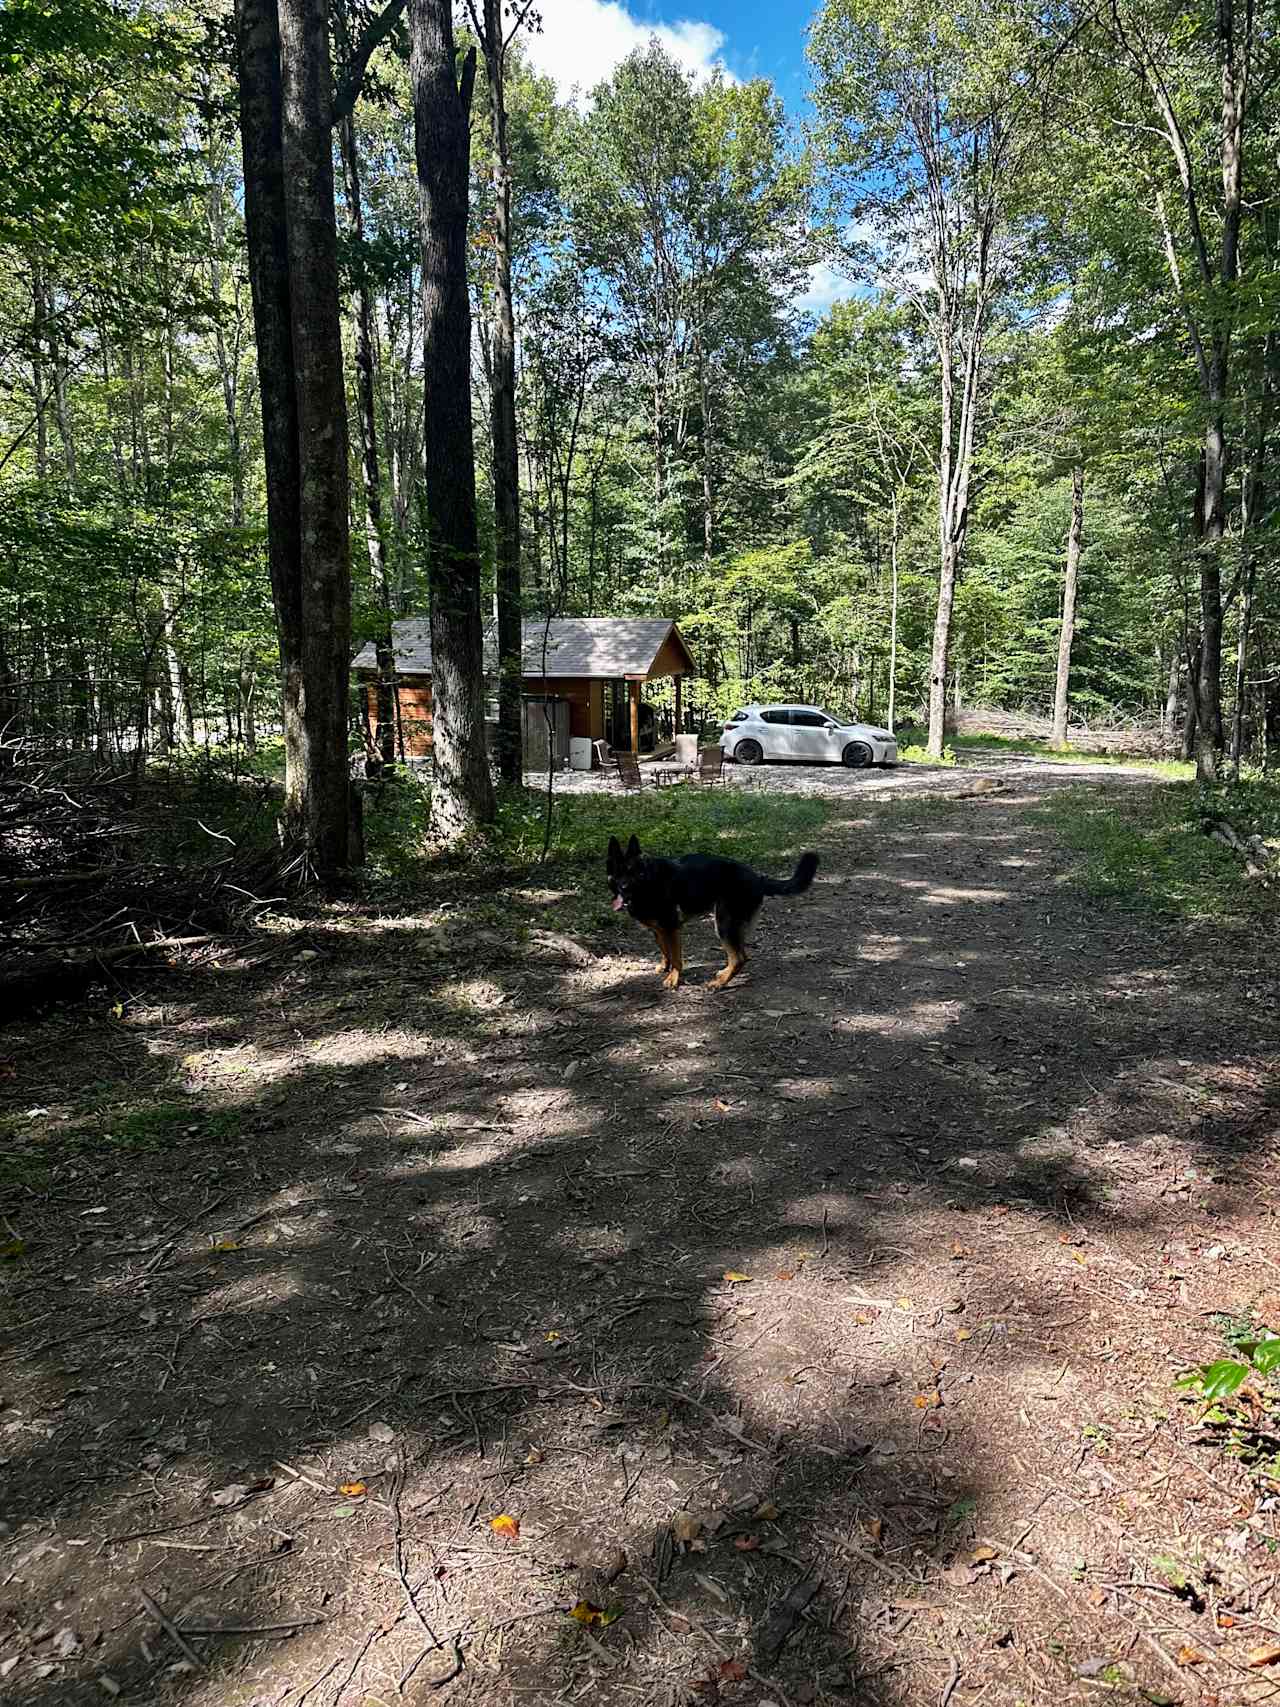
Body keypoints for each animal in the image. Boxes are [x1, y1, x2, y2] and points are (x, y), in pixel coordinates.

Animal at [607, 836, 822, 996]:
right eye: (618, 873)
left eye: (634, 873)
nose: (624, 888)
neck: (649, 881)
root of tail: (757, 877)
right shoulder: (659, 930)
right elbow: (665, 951)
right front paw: (664, 967)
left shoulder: (671, 927)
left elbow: (676, 957)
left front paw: (674, 978)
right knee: (738, 956)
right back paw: (722, 975)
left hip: (723, 924)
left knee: (740, 958)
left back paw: (719, 984)